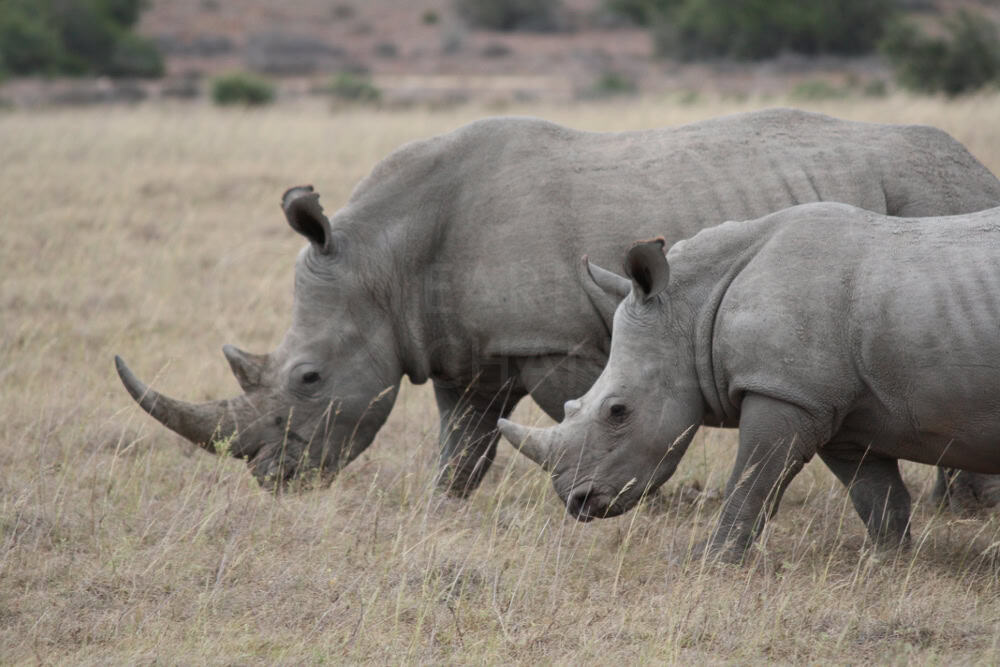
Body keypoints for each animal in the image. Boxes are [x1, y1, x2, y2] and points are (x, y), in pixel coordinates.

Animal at [115, 109, 1000, 499]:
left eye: (306, 378)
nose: (272, 476)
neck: (383, 257)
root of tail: (977, 166)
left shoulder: (554, 338)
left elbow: (579, 411)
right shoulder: (460, 345)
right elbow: (463, 443)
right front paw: (444, 509)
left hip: (933, 196)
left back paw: (963, 508)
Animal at [498, 203, 1000, 560]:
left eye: (617, 411)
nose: (577, 501)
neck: (694, 309)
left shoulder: (783, 391)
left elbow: (753, 479)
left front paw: (705, 561)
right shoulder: (830, 403)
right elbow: (873, 489)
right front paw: (887, 560)